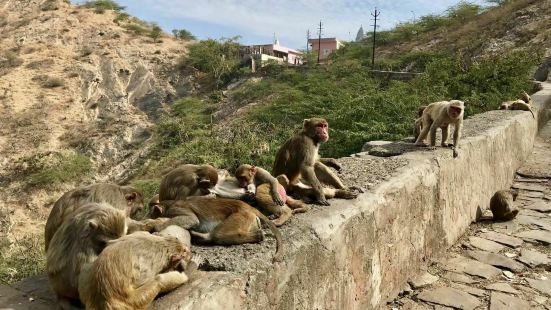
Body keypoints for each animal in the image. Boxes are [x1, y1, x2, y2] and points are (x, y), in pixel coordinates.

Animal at [150, 197, 284, 262]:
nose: (149, 216)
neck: (169, 204)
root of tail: (250, 208)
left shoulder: (176, 209)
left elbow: (192, 219)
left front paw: (156, 228)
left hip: (241, 216)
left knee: (218, 235)